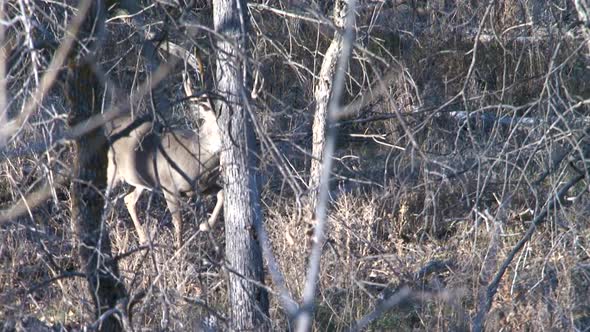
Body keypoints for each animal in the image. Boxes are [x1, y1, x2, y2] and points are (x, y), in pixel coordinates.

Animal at [105, 68, 223, 248]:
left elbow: (221, 193)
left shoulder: (201, 188)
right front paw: (178, 251)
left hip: (141, 180)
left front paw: (205, 225)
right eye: (212, 125)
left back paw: (143, 238)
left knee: (128, 199)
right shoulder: (169, 186)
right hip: (112, 171)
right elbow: (179, 223)